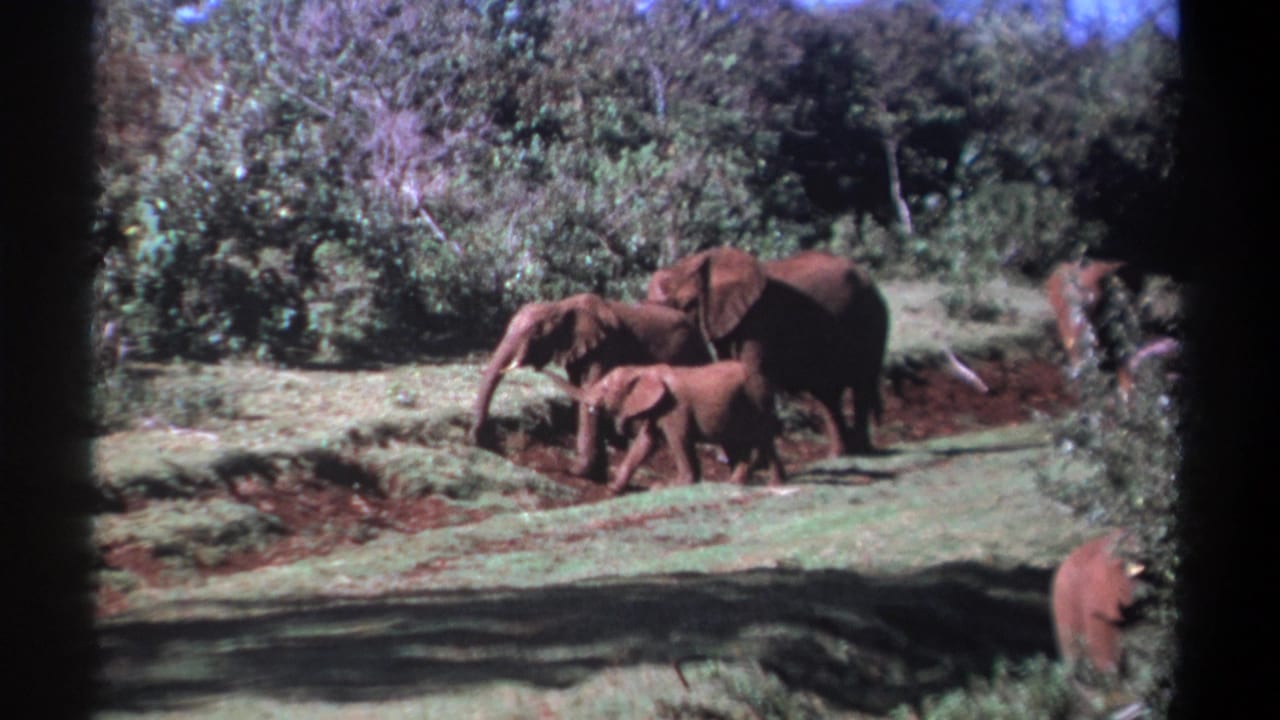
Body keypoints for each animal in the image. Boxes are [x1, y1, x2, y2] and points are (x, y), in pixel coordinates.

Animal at [469, 293, 713, 479]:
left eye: (537, 333)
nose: (479, 440)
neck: (561, 306)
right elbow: (580, 393)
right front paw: (596, 472)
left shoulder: (605, 346)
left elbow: (590, 388)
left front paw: (578, 471)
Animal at [544, 361, 787, 493]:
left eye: (605, 389)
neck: (643, 370)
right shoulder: (657, 408)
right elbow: (645, 442)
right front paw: (613, 489)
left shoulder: (675, 408)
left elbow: (678, 440)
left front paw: (670, 486)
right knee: (737, 442)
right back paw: (735, 482)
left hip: (757, 398)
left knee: (762, 437)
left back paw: (774, 483)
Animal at [647, 247, 889, 456]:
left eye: (688, 304)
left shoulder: (758, 319)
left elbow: (753, 375)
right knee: (827, 395)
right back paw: (839, 454)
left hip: (870, 318)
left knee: (860, 385)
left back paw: (861, 450)